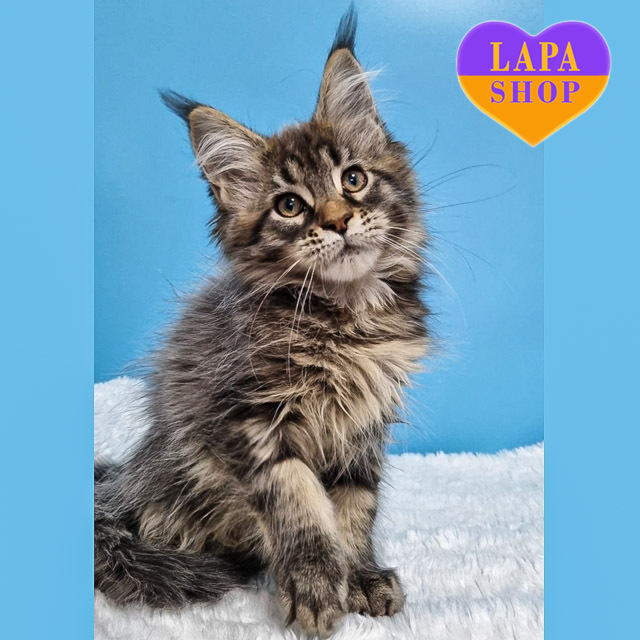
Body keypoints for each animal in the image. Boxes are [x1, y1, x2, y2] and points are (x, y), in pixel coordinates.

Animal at [95, 8, 429, 635]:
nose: (340, 221)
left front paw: (358, 575)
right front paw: (316, 585)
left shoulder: (364, 428)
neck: (345, 318)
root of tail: (124, 482)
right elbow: (298, 499)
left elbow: (354, 507)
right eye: (289, 206)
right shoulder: (249, 413)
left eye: (353, 179)